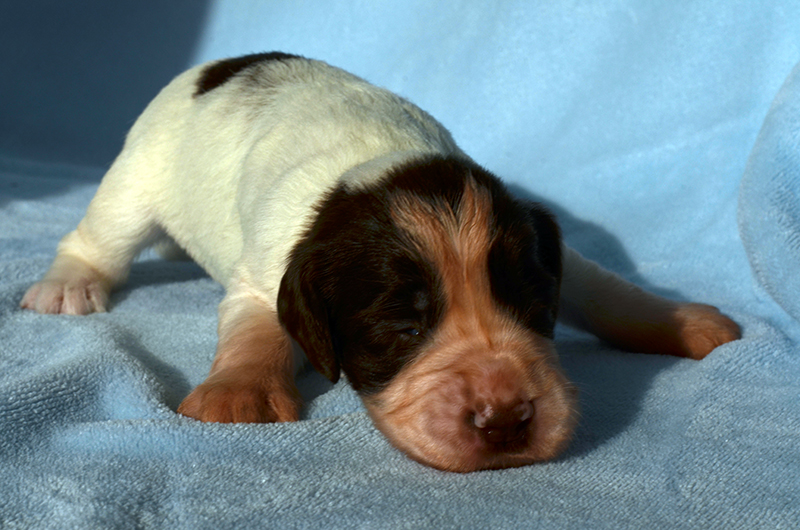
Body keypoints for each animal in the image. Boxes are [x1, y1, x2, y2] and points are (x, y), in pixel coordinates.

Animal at [20, 53, 744, 470]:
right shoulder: (266, 273)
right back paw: (68, 285)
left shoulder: (549, 246)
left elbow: (605, 287)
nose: (506, 419)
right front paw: (239, 391)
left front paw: (683, 321)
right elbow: (256, 328)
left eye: (538, 311)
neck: (382, 162)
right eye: (400, 330)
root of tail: (216, 65)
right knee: (100, 234)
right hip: (139, 175)